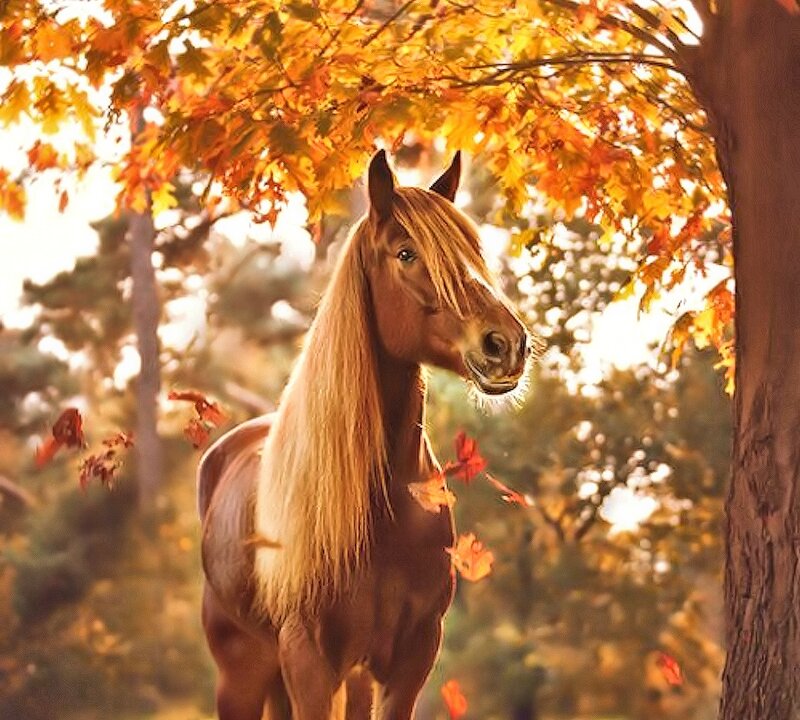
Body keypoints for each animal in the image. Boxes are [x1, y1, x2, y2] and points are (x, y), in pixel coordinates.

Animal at [197, 149, 532, 720]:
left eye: (472, 250)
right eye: (406, 253)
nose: (506, 344)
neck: (384, 507)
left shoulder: (410, 658)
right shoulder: (308, 658)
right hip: (242, 674)